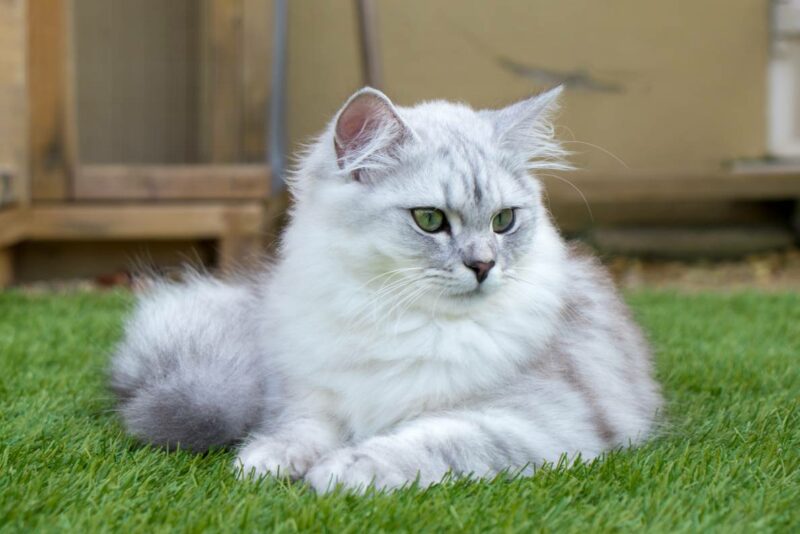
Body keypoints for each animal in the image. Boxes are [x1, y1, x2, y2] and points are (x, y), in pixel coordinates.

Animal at [111, 88, 664, 494]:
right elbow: (299, 430)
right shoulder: (317, 396)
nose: (484, 265)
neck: (400, 316)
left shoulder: (536, 420)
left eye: (504, 221)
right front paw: (267, 459)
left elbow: (424, 442)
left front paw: (341, 471)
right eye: (430, 220)